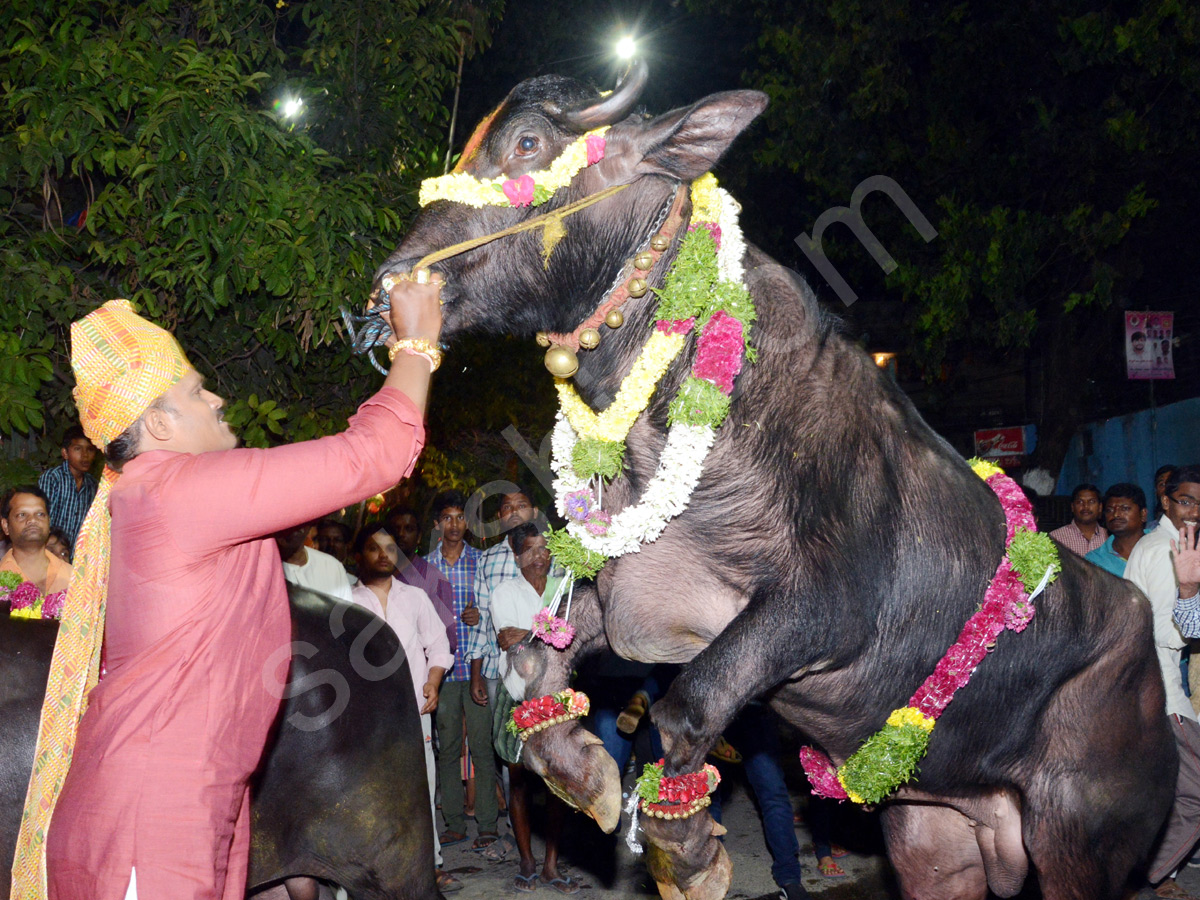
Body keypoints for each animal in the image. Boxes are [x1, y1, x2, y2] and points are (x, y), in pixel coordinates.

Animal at [379, 63, 1176, 900]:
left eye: (529, 143)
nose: (393, 281)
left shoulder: (822, 614)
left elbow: (689, 704)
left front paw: (685, 849)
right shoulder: (626, 597)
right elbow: (534, 664)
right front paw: (587, 779)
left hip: (1080, 844)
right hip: (931, 837)